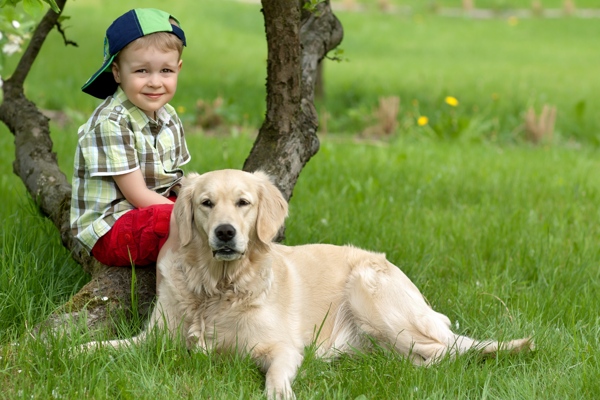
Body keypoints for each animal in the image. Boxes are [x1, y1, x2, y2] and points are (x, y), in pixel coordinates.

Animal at [81, 170, 536, 400]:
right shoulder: (154, 339)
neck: (218, 287)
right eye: (206, 203)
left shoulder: (280, 346)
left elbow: (277, 374)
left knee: (444, 352)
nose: (225, 233)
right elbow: (103, 346)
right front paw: (71, 348)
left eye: (243, 203)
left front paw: (279, 392)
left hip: (370, 293)